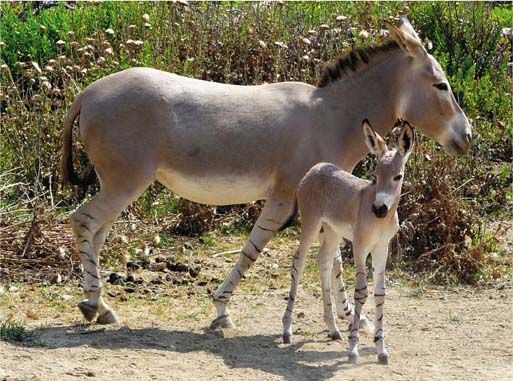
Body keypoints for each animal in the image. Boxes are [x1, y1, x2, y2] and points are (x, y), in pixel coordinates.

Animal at [282, 120, 414, 364]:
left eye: (398, 176)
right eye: (375, 175)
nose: (379, 209)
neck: (381, 221)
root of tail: (316, 167)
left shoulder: (381, 248)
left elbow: (380, 292)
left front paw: (381, 350)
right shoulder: (360, 247)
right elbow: (361, 291)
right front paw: (353, 350)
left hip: (332, 231)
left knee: (324, 261)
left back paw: (333, 328)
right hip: (311, 225)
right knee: (299, 262)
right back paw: (286, 330)